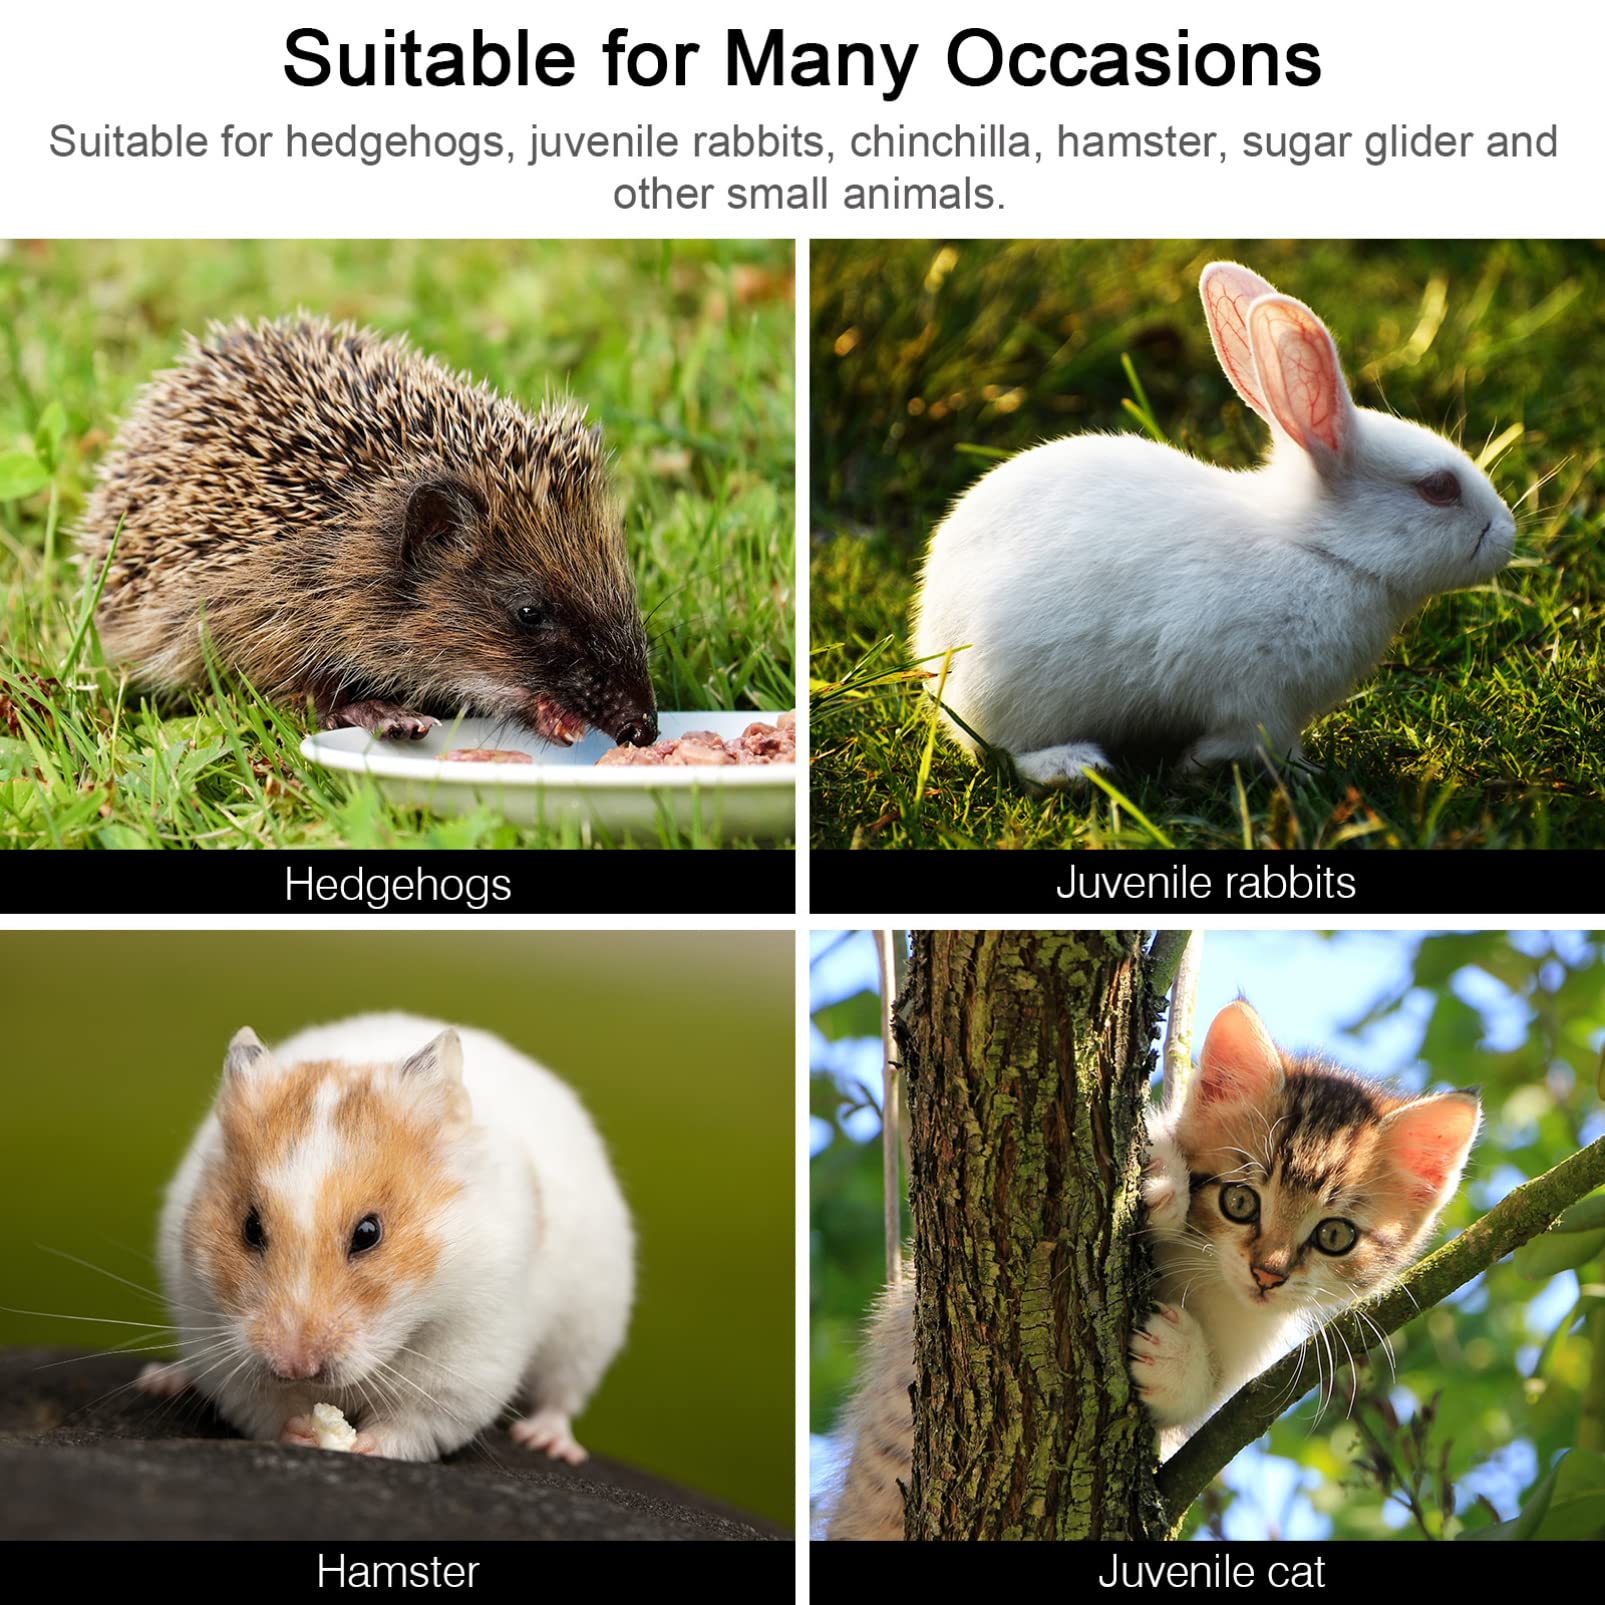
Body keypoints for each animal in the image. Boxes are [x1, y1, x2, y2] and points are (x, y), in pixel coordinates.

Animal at [136, 1012, 633, 1464]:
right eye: (250, 1228)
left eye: (368, 1233)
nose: (295, 1367)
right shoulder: (216, 1338)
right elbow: (263, 1407)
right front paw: (303, 1431)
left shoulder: (466, 1360)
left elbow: (413, 1423)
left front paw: (362, 1445)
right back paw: (162, 1379)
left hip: (588, 1329)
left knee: (561, 1396)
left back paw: (548, 1442)